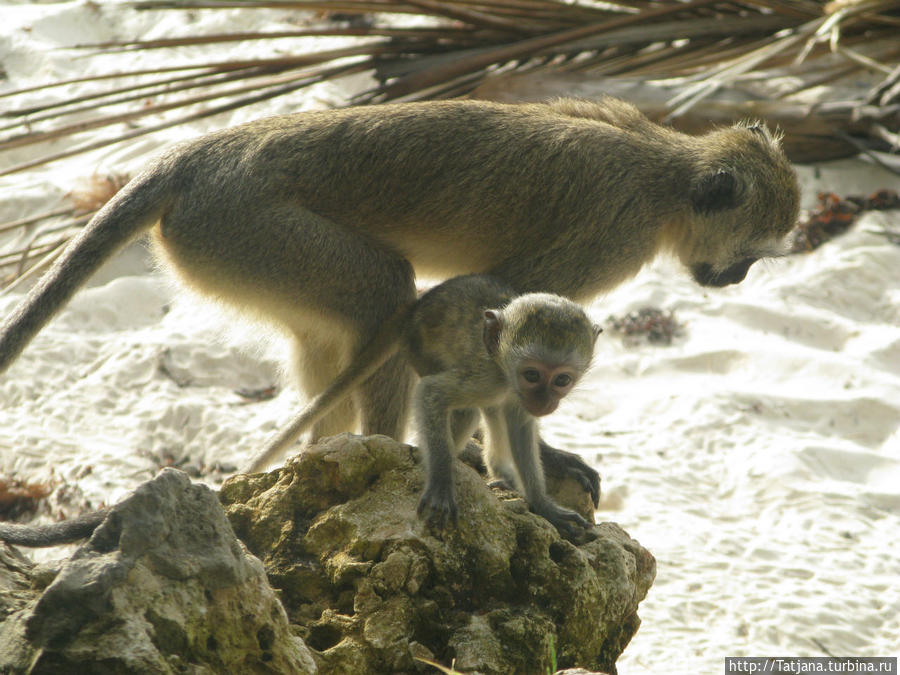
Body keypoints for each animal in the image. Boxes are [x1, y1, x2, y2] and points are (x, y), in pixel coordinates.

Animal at [0, 99, 800, 480]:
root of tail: (197, 155)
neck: (665, 175)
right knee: (388, 299)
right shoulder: (611, 234)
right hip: (239, 224)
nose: (736, 276)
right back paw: (389, 454)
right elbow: (512, 320)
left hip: (228, 247)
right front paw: (530, 455)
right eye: (750, 255)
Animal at [246, 274, 600, 540]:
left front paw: (543, 504)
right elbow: (431, 394)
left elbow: (520, 424)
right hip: (418, 349)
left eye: (562, 380)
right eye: (532, 375)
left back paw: (499, 473)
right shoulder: (487, 377)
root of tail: (417, 304)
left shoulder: (514, 394)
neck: (504, 369)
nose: (544, 400)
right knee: (468, 409)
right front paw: (441, 482)